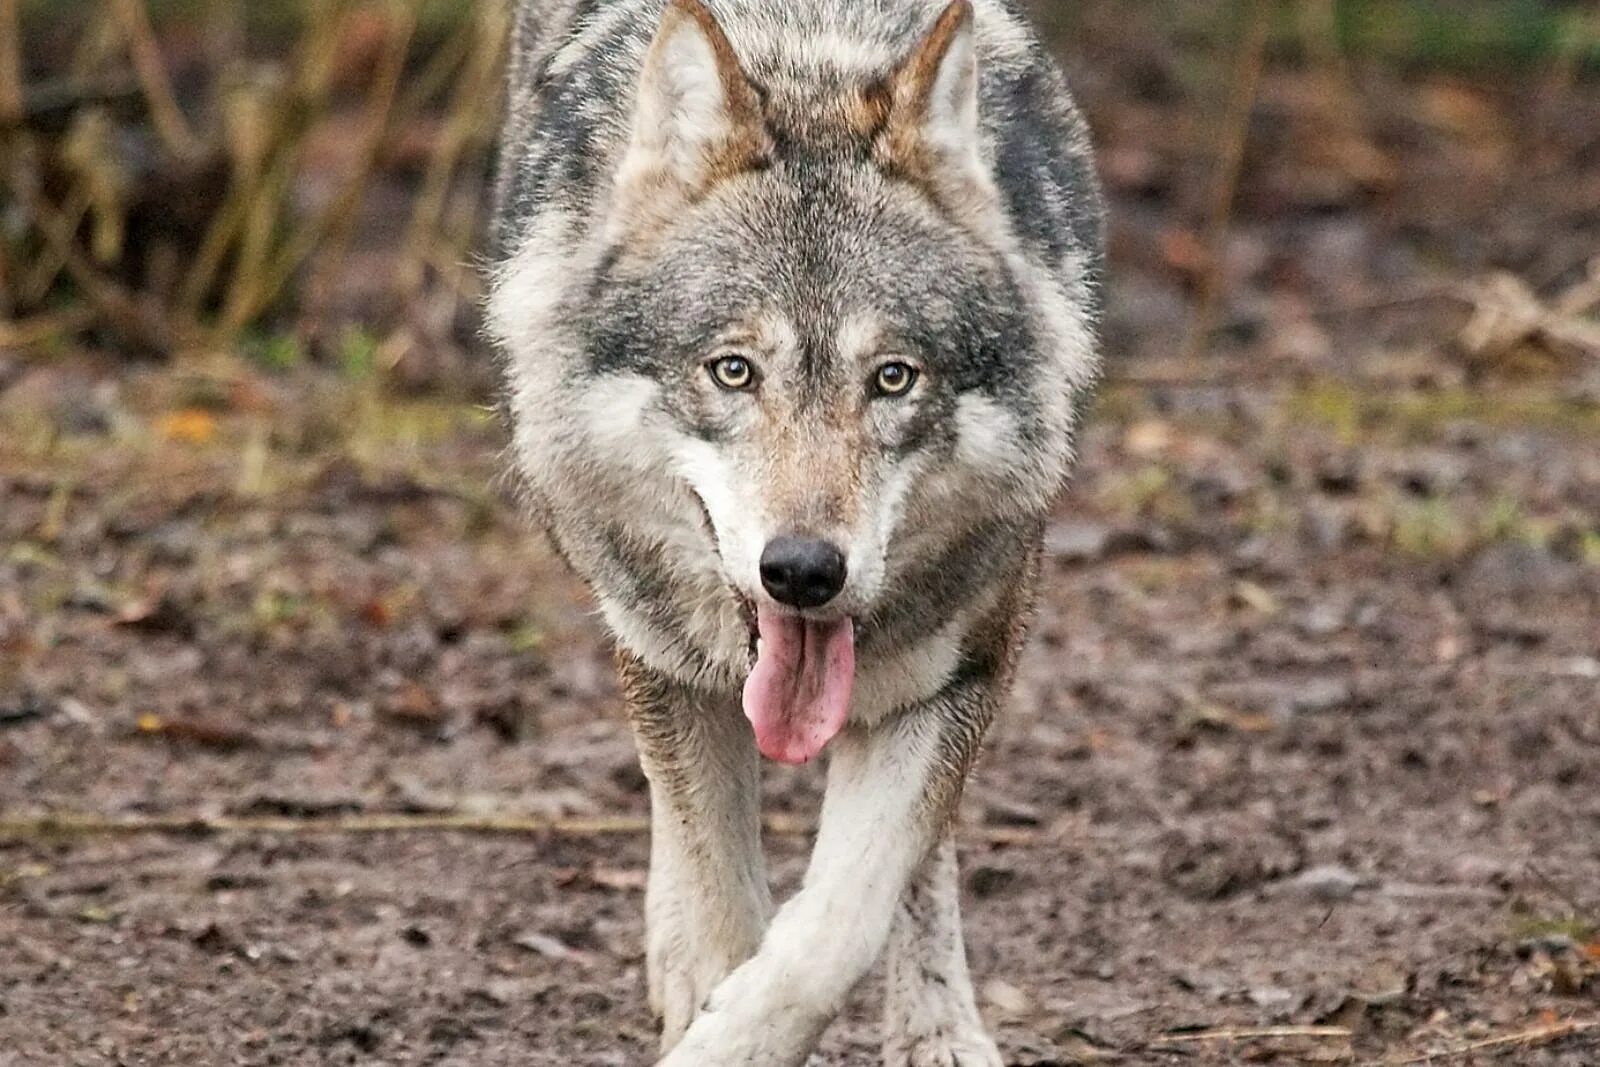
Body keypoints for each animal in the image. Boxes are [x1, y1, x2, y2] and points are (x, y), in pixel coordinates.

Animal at [486, 0, 1107, 1062]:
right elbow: (720, 894)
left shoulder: (963, 666)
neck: (809, 53)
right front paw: (702, 994)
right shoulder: (664, 660)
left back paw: (938, 1025)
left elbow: (838, 923)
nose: (805, 572)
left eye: (893, 378)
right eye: (733, 370)